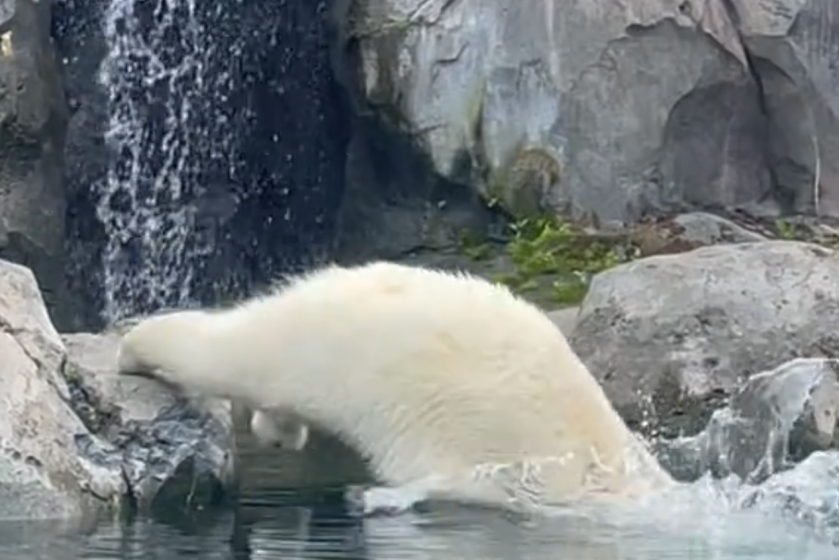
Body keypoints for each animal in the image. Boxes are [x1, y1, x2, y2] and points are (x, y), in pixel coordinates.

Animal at [115, 261, 675, 516]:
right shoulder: (525, 478)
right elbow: (451, 481)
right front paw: (375, 497)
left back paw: (278, 430)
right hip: (339, 348)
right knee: (236, 352)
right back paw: (134, 345)